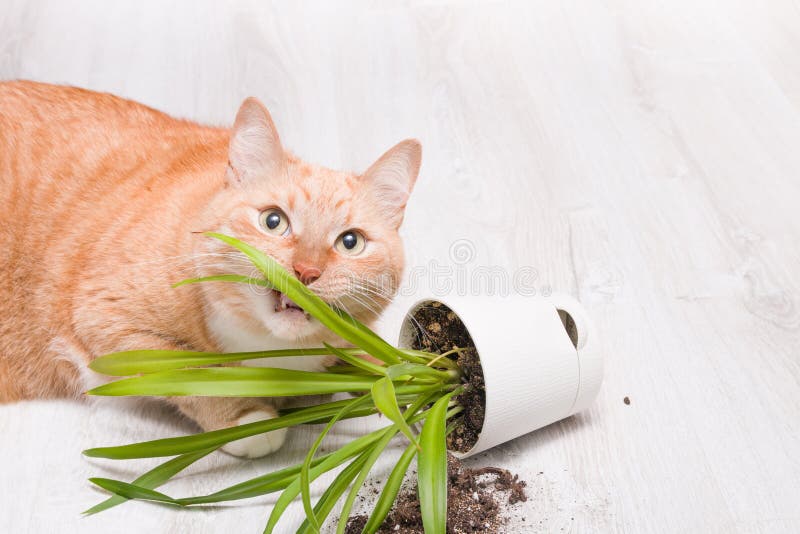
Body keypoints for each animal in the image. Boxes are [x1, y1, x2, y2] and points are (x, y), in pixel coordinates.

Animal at [0, 81, 422, 458]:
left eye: (350, 242)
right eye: (273, 221)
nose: (306, 271)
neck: (271, 350)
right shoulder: (106, 318)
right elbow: (188, 371)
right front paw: (247, 419)